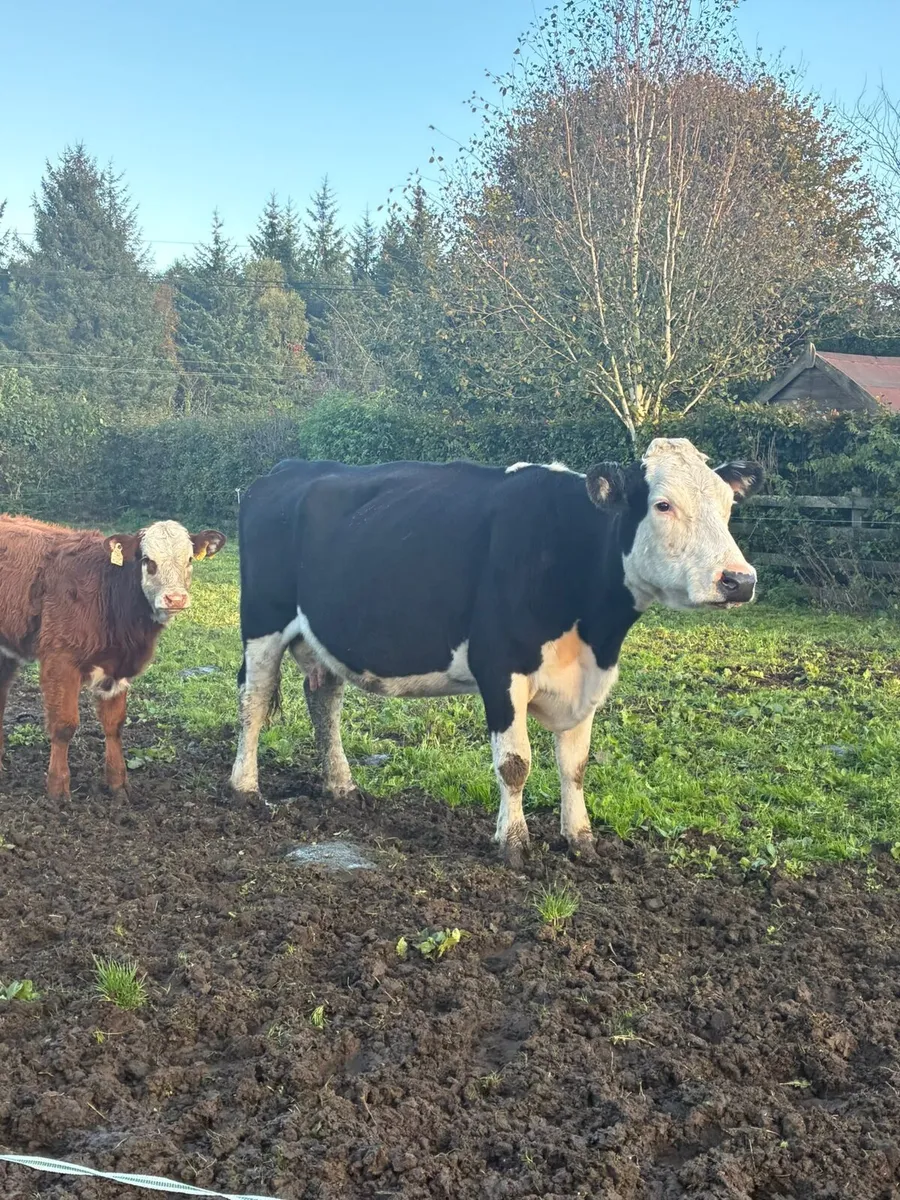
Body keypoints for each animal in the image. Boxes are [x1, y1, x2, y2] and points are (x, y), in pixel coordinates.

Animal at [0, 516, 225, 800]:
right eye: (148, 561)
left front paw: (118, 784)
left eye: (189, 560)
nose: (175, 598)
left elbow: (114, 725)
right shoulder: (59, 661)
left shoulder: (119, 669)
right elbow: (64, 725)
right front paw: (58, 789)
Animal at [229, 439, 762, 866]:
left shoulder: (588, 678)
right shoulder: (500, 668)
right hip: (262, 622)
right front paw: (515, 843)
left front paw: (581, 840)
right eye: (662, 505)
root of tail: (285, 470)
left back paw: (341, 787)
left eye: (728, 504)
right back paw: (245, 789)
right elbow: (515, 764)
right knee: (253, 701)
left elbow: (576, 765)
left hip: (324, 633)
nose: (739, 580)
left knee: (324, 701)